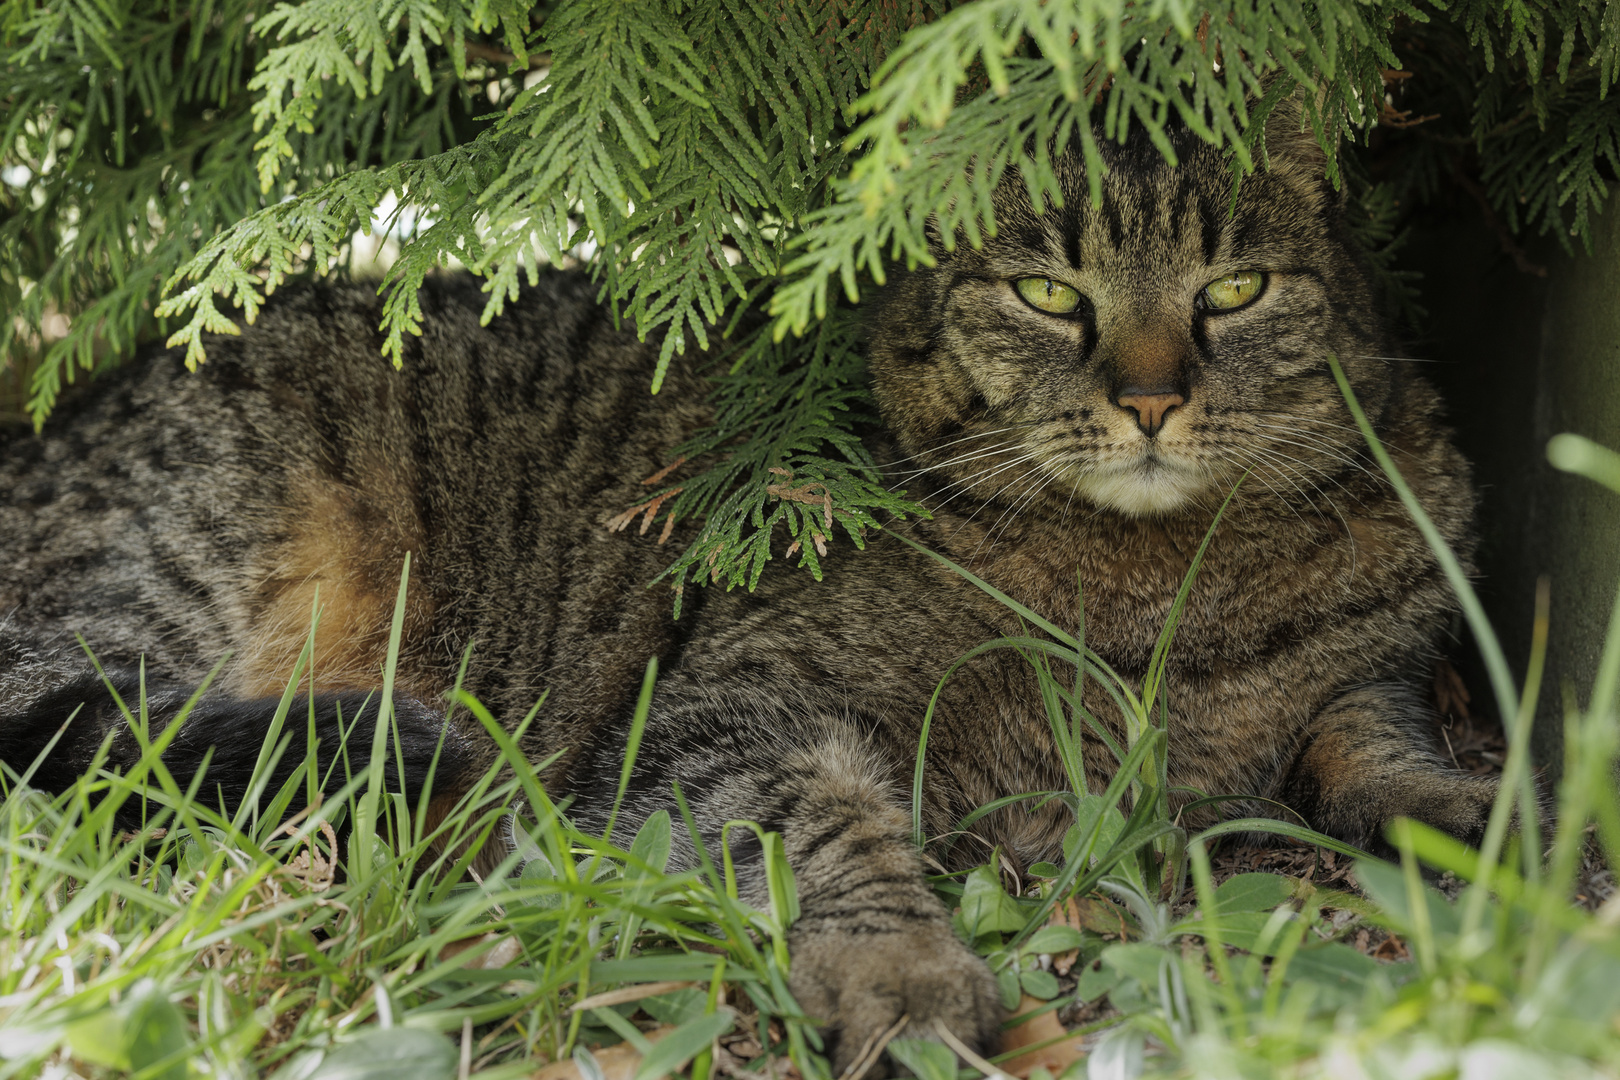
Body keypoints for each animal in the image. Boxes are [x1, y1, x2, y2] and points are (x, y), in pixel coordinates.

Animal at [0, 105, 1490, 1068]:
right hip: (180, 549)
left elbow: (1377, 746)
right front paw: (905, 970)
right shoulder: (733, 707)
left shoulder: (1375, 667)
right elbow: (828, 824)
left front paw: (1477, 815)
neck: (1153, 582)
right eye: (1048, 294)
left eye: (1232, 290)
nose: (1151, 399)